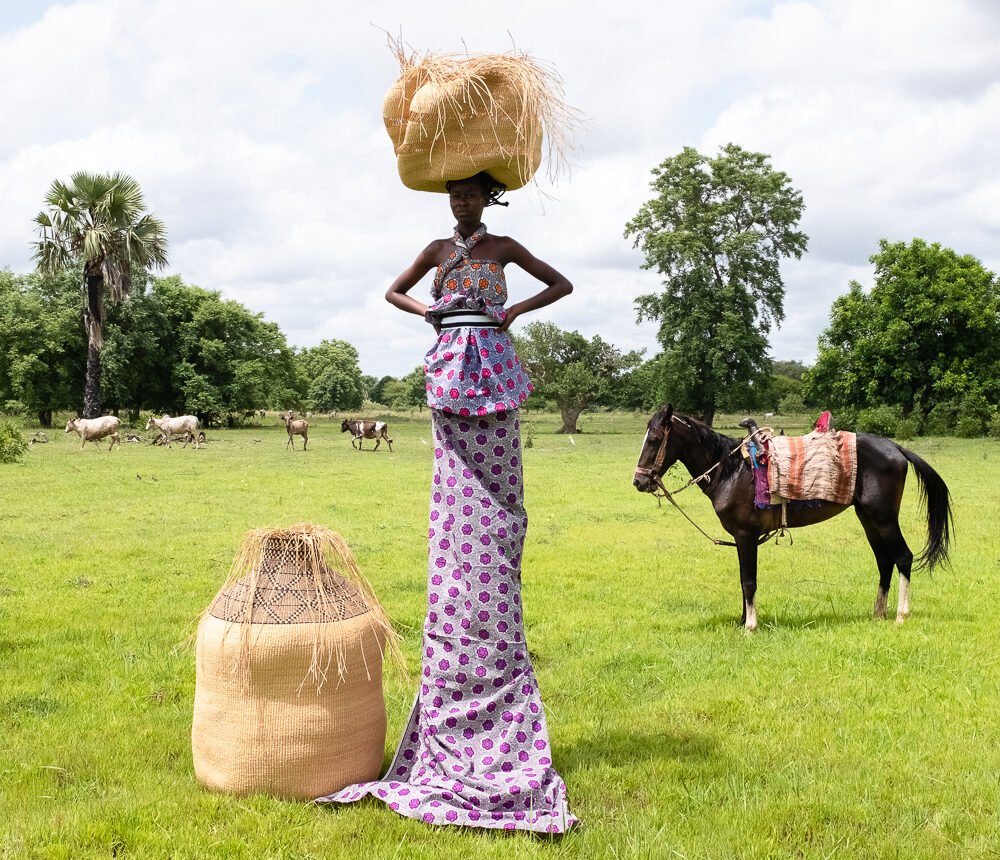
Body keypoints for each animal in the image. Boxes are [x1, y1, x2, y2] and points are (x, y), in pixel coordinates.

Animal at [632, 404, 952, 632]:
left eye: (655, 440)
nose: (638, 481)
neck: (731, 468)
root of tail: (896, 448)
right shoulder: (741, 539)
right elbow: (743, 580)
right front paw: (743, 620)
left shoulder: (746, 536)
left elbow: (748, 581)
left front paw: (750, 626)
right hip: (867, 518)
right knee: (884, 561)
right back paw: (878, 614)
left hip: (883, 518)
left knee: (903, 557)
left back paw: (900, 615)